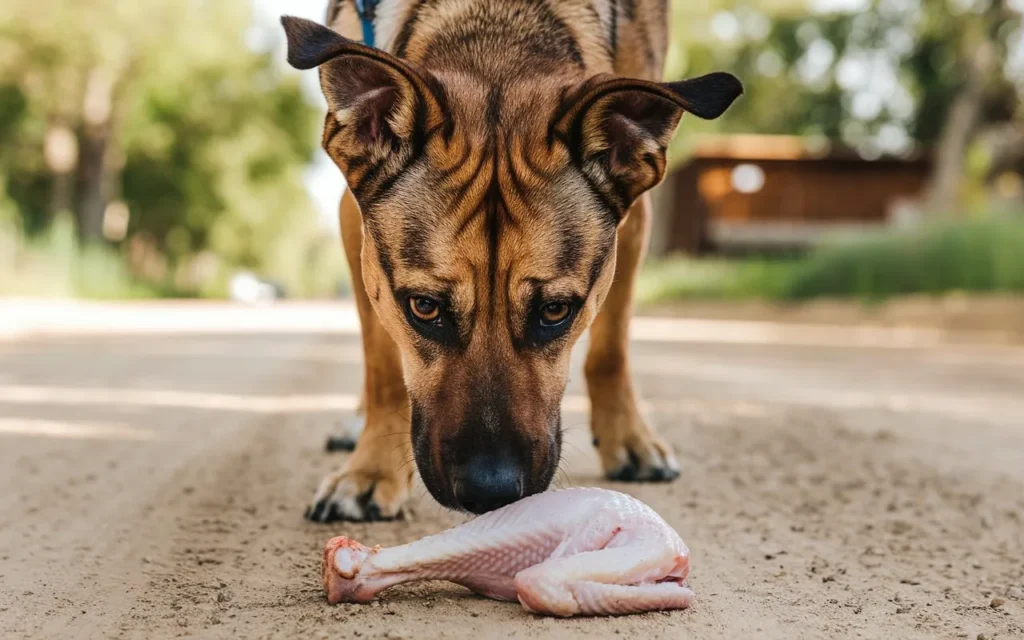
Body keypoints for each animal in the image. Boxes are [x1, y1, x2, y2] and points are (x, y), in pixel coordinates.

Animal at [284, 0, 741, 522]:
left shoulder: (635, 217)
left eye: (556, 310)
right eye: (424, 306)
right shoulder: (355, 223)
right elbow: (382, 367)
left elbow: (611, 349)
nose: (491, 492)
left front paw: (629, 439)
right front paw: (371, 471)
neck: (499, 23)